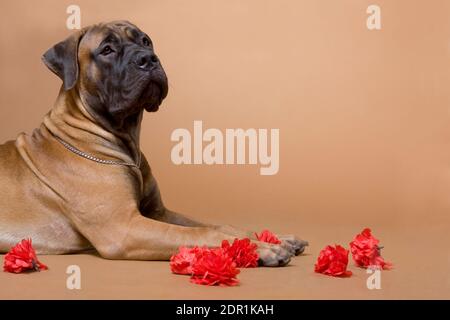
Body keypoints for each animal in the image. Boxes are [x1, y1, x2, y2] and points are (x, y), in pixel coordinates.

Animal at [0, 20, 306, 268]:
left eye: (145, 41)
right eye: (107, 50)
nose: (148, 58)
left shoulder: (158, 212)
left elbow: (220, 224)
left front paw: (274, 238)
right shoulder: (124, 226)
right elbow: (203, 232)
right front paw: (262, 249)